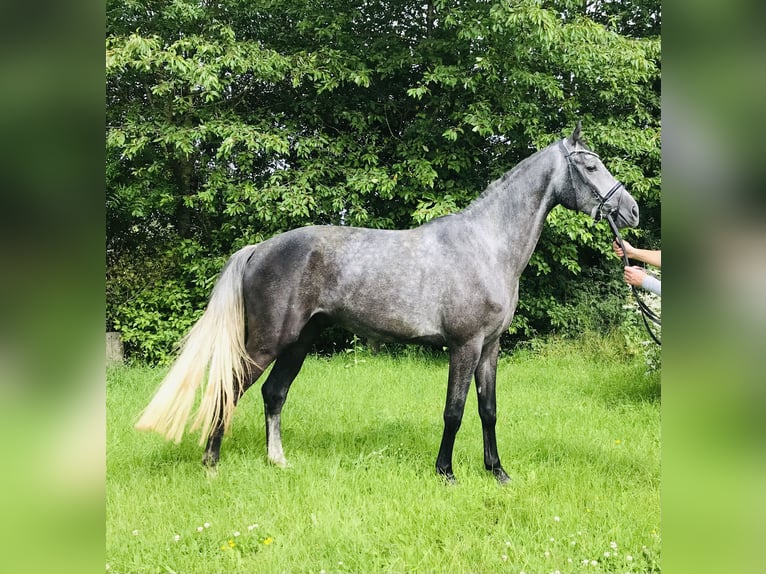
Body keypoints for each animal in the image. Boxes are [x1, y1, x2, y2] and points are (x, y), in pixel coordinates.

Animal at [136, 124, 640, 484]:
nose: (631, 211)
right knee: (229, 388)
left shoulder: (490, 348)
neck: (486, 244)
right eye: (590, 166)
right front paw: (446, 473)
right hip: (266, 344)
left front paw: (498, 472)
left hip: (300, 342)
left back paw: (278, 462)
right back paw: (211, 464)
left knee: (273, 393)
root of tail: (259, 248)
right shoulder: (464, 346)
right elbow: (454, 411)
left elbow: (488, 410)